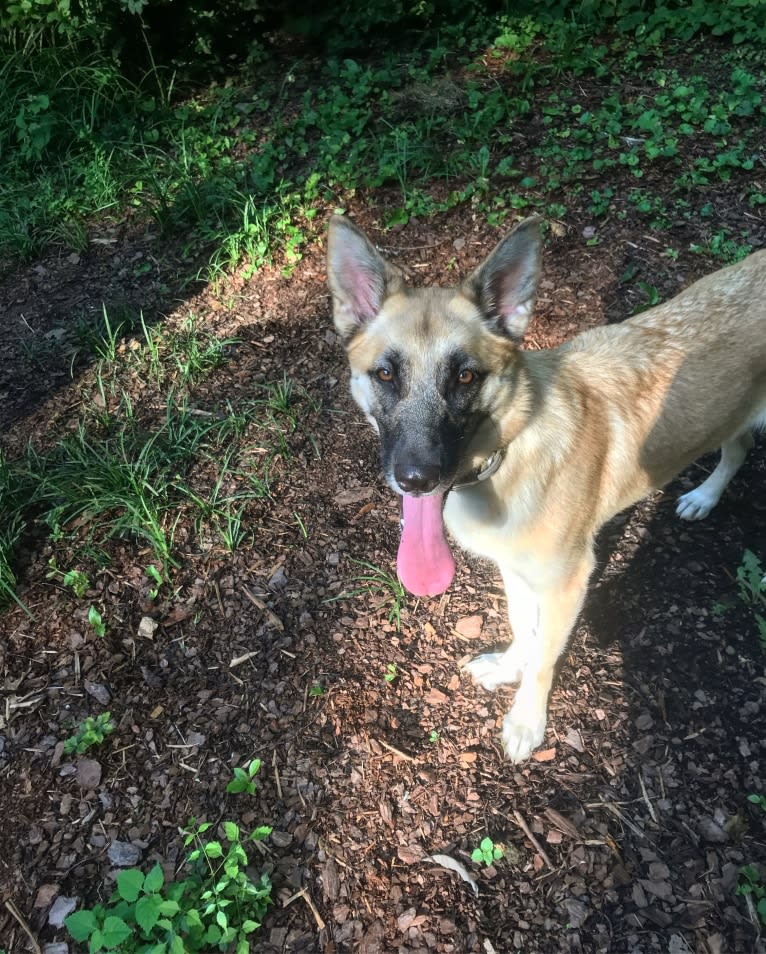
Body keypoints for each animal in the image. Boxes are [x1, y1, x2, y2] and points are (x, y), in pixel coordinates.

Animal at [326, 214, 766, 760]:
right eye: (385, 373)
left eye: (466, 376)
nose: (417, 479)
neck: (508, 449)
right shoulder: (515, 567)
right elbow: (523, 627)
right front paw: (507, 666)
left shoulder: (568, 582)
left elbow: (543, 658)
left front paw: (527, 721)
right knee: (739, 445)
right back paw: (705, 496)